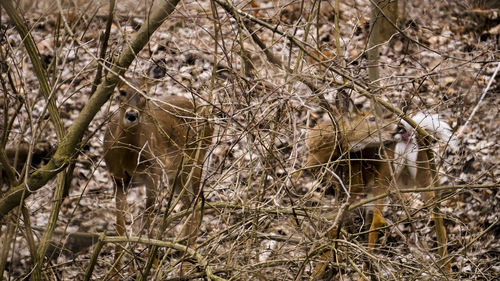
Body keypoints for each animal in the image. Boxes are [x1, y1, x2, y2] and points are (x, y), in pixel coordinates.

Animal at [102, 76, 212, 272]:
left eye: (144, 92)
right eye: (122, 91)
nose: (132, 115)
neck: (128, 157)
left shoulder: (153, 172)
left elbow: (148, 216)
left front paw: (152, 263)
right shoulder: (118, 179)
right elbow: (120, 225)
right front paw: (115, 271)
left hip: (196, 158)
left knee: (198, 201)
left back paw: (187, 256)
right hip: (176, 173)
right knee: (188, 203)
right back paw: (181, 248)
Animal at [304, 99, 458, 278]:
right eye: (371, 118)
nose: (398, 128)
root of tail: (410, 136)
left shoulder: (350, 188)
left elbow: (335, 227)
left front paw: (322, 269)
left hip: (384, 175)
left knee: (378, 220)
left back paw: (366, 271)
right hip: (423, 172)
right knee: (437, 216)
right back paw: (446, 269)